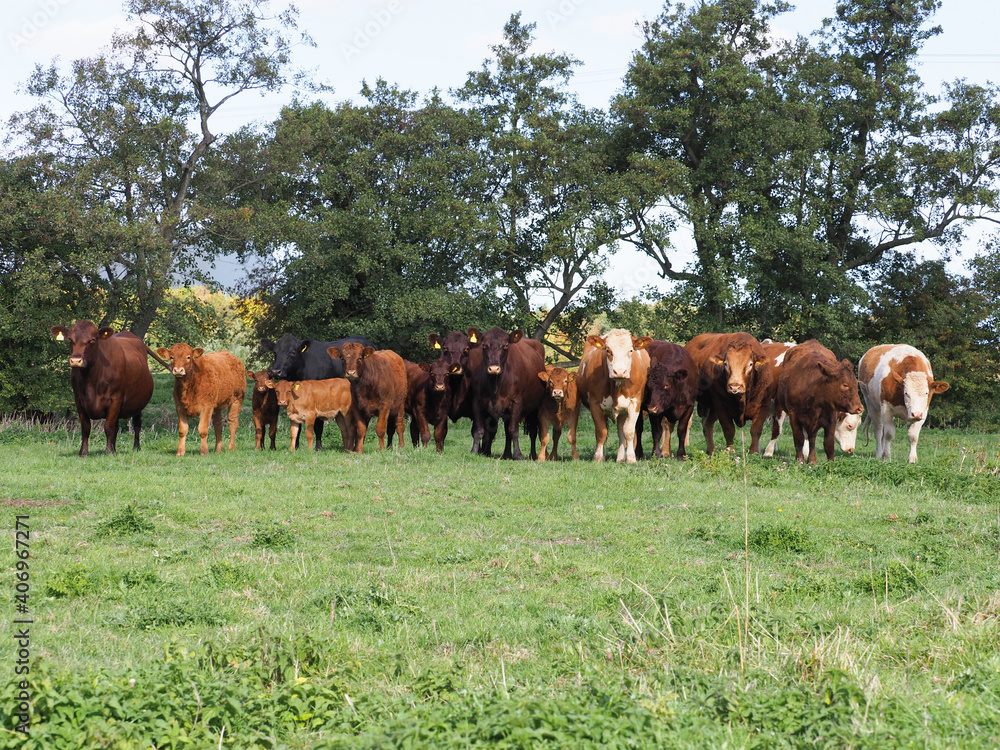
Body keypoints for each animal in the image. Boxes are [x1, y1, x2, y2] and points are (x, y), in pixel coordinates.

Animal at [50, 320, 155, 457]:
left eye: (92, 340)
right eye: (70, 340)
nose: (76, 360)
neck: (91, 380)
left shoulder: (115, 399)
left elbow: (108, 426)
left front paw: (109, 451)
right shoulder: (79, 400)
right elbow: (86, 427)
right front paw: (83, 452)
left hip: (138, 404)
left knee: (137, 424)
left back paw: (136, 447)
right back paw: (115, 448)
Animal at [468, 327, 545, 460]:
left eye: (505, 346)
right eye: (484, 345)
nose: (494, 368)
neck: (496, 386)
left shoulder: (517, 402)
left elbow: (514, 430)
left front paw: (518, 455)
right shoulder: (476, 402)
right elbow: (479, 430)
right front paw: (474, 451)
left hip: (535, 408)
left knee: (533, 432)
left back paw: (533, 455)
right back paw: (507, 454)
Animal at [576, 328, 653, 463]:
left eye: (631, 350)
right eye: (608, 350)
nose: (620, 372)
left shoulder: (635, 403)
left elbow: (629, 432)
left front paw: (631, 458)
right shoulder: (595, 404)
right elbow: (601, 432)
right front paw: (598, 457)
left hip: (623, 411)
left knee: (621, 432)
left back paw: (621, 457)